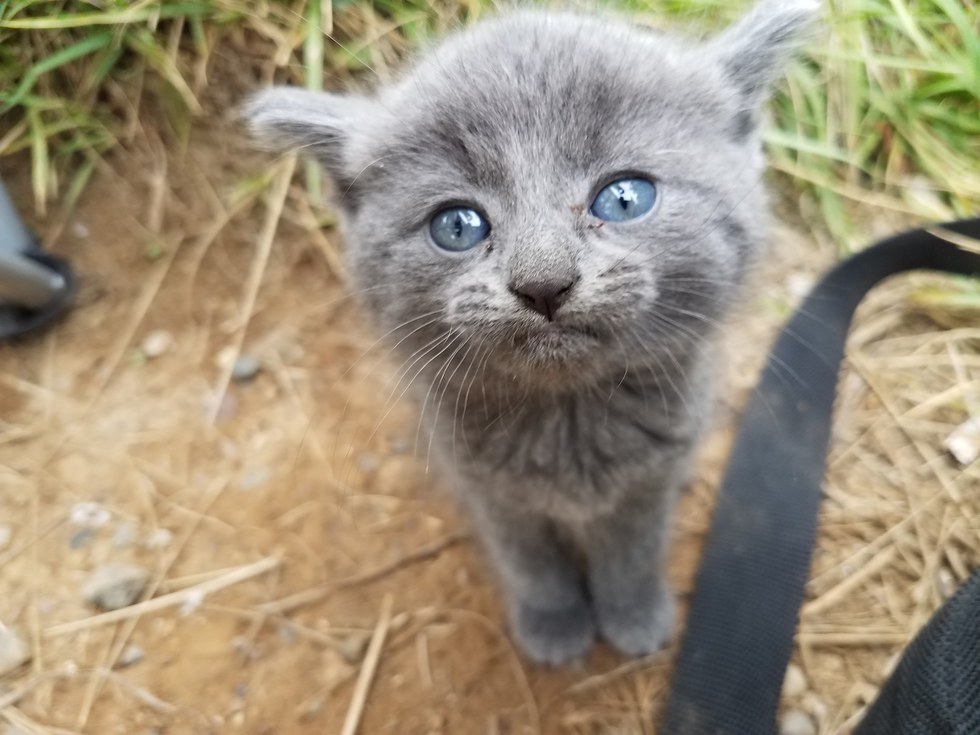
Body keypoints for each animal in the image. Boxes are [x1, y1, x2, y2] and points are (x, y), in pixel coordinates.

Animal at [247, 0, 820, 668]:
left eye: (625, 198)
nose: (543, 282)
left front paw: (634, 615)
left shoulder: (651, 478)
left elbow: (633, 553)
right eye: (458, 225)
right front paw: (554, 624)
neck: (568, 421)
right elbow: (531, 564)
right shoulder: (491, 490)